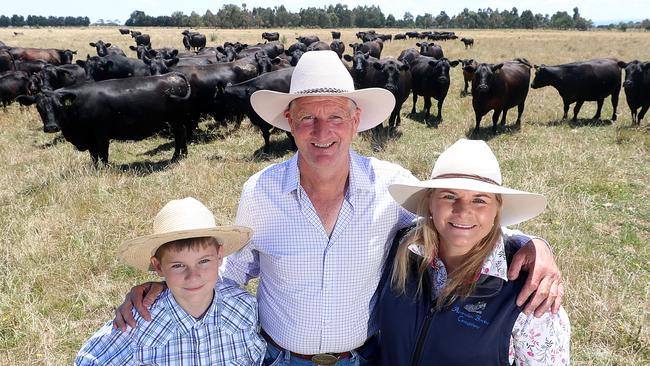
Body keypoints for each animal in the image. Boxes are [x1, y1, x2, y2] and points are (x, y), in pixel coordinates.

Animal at [16, 73, 191, 164]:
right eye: (38, 107)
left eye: (59, 105)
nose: (52, 127)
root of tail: (172, 75)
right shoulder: (89, 138)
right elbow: (93, 156)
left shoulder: (101, 134)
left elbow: (103, 154)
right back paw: (182, 156)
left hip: (176, 120)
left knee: (180, 135)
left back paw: (177, 157)